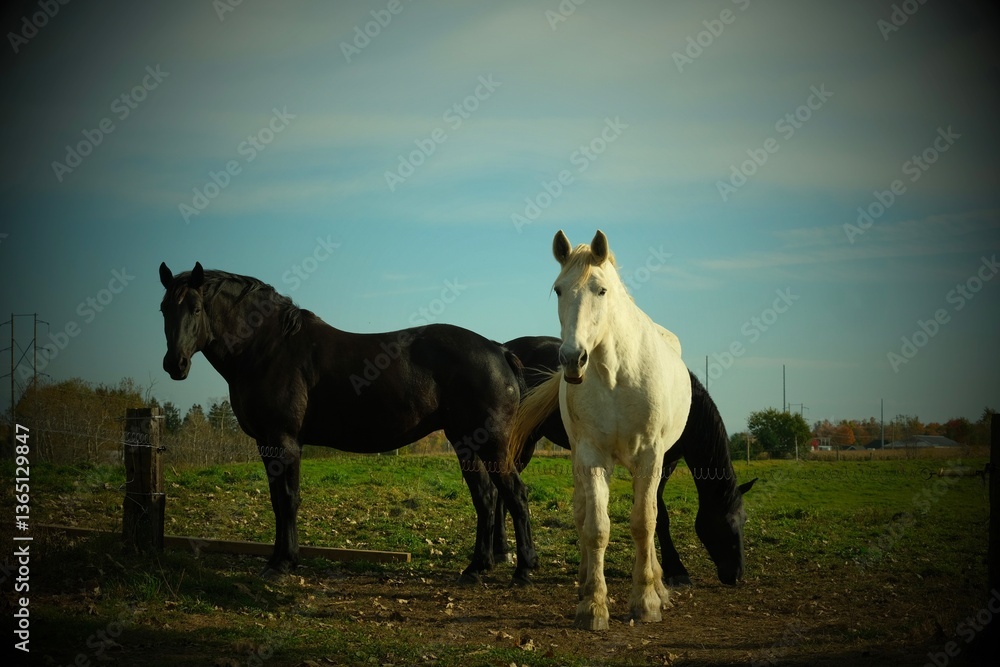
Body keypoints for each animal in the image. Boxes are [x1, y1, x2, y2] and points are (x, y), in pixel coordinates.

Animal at [158, 262, 537, 584]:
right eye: (163, 309)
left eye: (195, 309)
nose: (174, 365)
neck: (267, 348)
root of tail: (499, 351)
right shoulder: (266, 444)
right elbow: (277, 502)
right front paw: (277, 560)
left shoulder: (284, 442)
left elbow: (288, 500)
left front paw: (282, 564)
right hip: (466, 442)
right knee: (486, 498)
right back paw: (476, 569)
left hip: (491, 443)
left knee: (515, 495)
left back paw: (523, 570)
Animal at [499, 335, 756, 587]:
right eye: (725, 523)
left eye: (744, 521)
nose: (737, 575)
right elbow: (660, 515)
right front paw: (675, 569)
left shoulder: (667, 463)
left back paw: (503, 552)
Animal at [507, 230, 693, 630]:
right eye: (559, 290)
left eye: (601, 290)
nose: (571, 359)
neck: (616, 374)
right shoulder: (591, 456)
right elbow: (596, 527)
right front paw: (593, 605)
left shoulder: (650, 457)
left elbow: (644, 523)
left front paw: (646, 602)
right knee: (584, 515)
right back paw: (584, 583)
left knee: (650, 516)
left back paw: (659, 588)